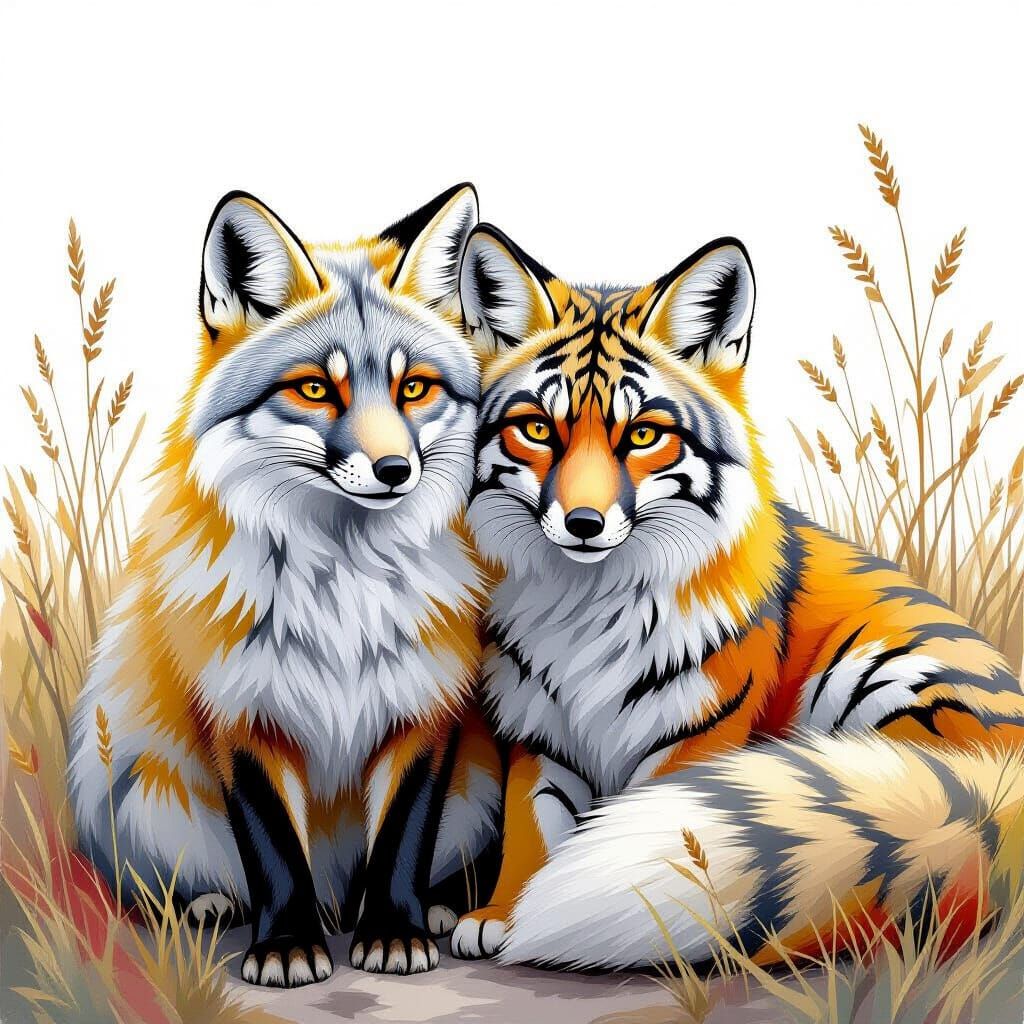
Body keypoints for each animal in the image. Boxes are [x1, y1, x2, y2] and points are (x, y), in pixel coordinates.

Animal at [67, 185, 501, 987]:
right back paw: (211, 908)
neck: (344, 593)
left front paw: (392, 931)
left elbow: (401, 839)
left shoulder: (425, 705)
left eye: (415, 388)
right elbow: (272, 851)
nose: (395, 471)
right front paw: (289, 946)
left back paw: (423, 909)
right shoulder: (240, 709)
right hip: (143, 794)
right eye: (314, 389)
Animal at [447, 222, 1024, 970]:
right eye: (539, 429)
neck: (588, 606)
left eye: (643, 435)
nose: (583, 523)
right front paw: (504, 913)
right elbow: (533, 830)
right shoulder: (540, 736)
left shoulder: (693, 738)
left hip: (879, 681)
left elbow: (658, 843)